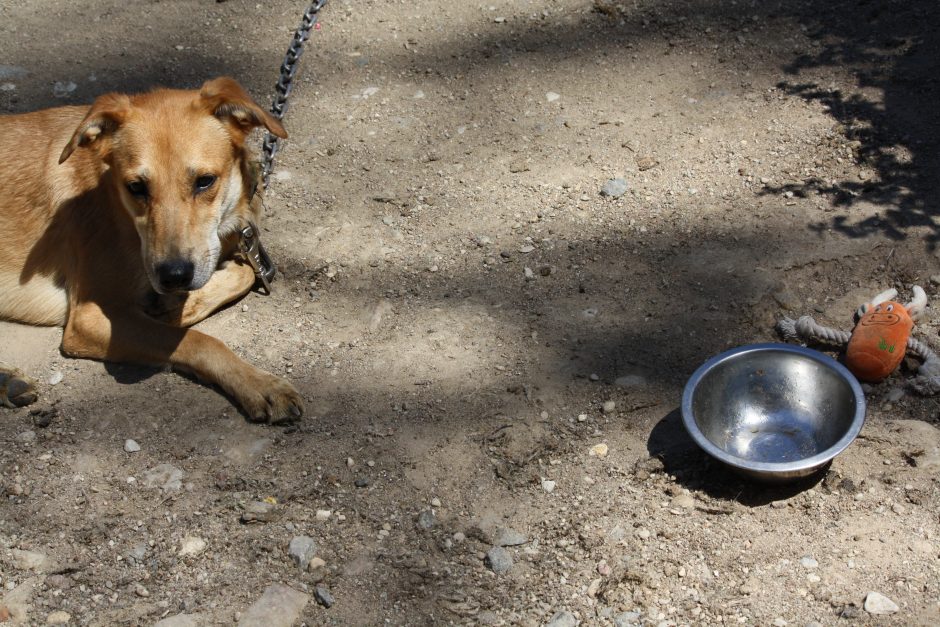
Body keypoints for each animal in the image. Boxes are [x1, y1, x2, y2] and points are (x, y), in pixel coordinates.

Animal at [0, 77, 302, 422]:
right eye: (136, 187)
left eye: (205, 181)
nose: (174, 276)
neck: (111, 198)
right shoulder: (87, 319)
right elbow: (200, 340)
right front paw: (258, 384)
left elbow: (245, 273)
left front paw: (171, 307)